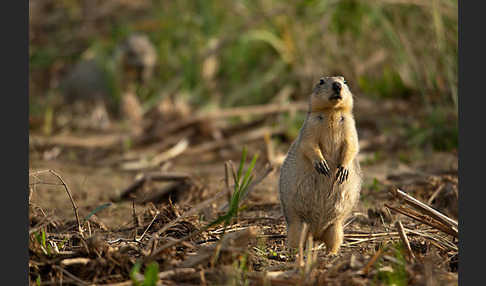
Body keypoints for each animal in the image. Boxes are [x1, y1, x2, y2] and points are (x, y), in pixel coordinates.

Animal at [280, 75, 362, 255]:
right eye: (321, 81)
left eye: (345, 81)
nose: (337, 85)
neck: (332, 112)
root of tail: (316, 234)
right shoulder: (310, 126)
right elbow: (309, 144)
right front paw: (322, 165)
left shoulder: (350, 126)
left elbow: (352, 145)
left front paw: (342, 170)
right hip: (297, 225)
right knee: (296, 241)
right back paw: (294, 252)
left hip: (336, 227)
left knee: (333, 241)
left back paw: (332, 253)